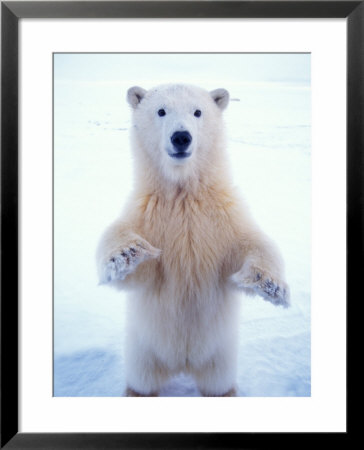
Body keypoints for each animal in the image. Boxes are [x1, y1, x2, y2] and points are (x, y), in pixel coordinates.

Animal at [96, 84, 288, 398]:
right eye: (161, 110)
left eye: (198, 112)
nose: (181, 137)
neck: (183, 193)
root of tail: (183, 364)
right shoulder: (147, 214)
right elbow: (130, 260)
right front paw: (126, 252)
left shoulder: (222, 217)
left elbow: (252, 243)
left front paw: (271, 285)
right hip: (143, 349)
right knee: (143, 380)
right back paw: (135, 392)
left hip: (220, 354)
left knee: (217, 383)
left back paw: (226, 393)